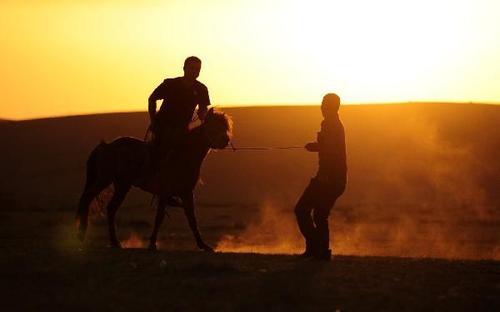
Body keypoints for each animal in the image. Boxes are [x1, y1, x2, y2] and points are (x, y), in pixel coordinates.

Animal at [75, 107, 232, 251]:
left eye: (225, 127)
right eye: (212, 126)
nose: (225, 140)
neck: (184, 155)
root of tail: (106, 146)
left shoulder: (186, 193)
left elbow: (192, 219)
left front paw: (203, 245)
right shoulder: (165, 192)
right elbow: (159, 217)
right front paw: (152, 244)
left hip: (120, 184)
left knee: (110, 208)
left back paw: (114, 243)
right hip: (106, 180)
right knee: (87, 199)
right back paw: (82, 237)